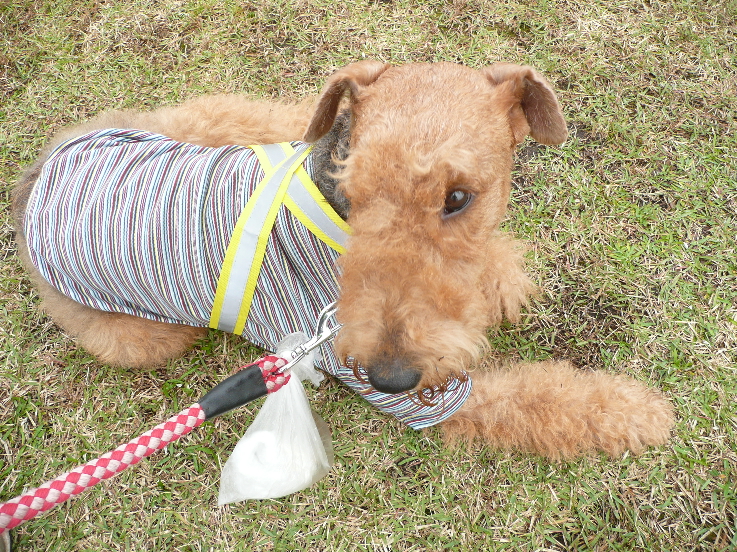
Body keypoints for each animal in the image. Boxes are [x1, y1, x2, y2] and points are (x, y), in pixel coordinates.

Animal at [13, 61, 674, 459]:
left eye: (457, 197)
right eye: (353, 196)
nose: (389, 375)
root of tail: (33, 185)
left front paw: (503, 279)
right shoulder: (436, 398)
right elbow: (543, 400)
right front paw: (641, 413)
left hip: (199, 123)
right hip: (146, 337)